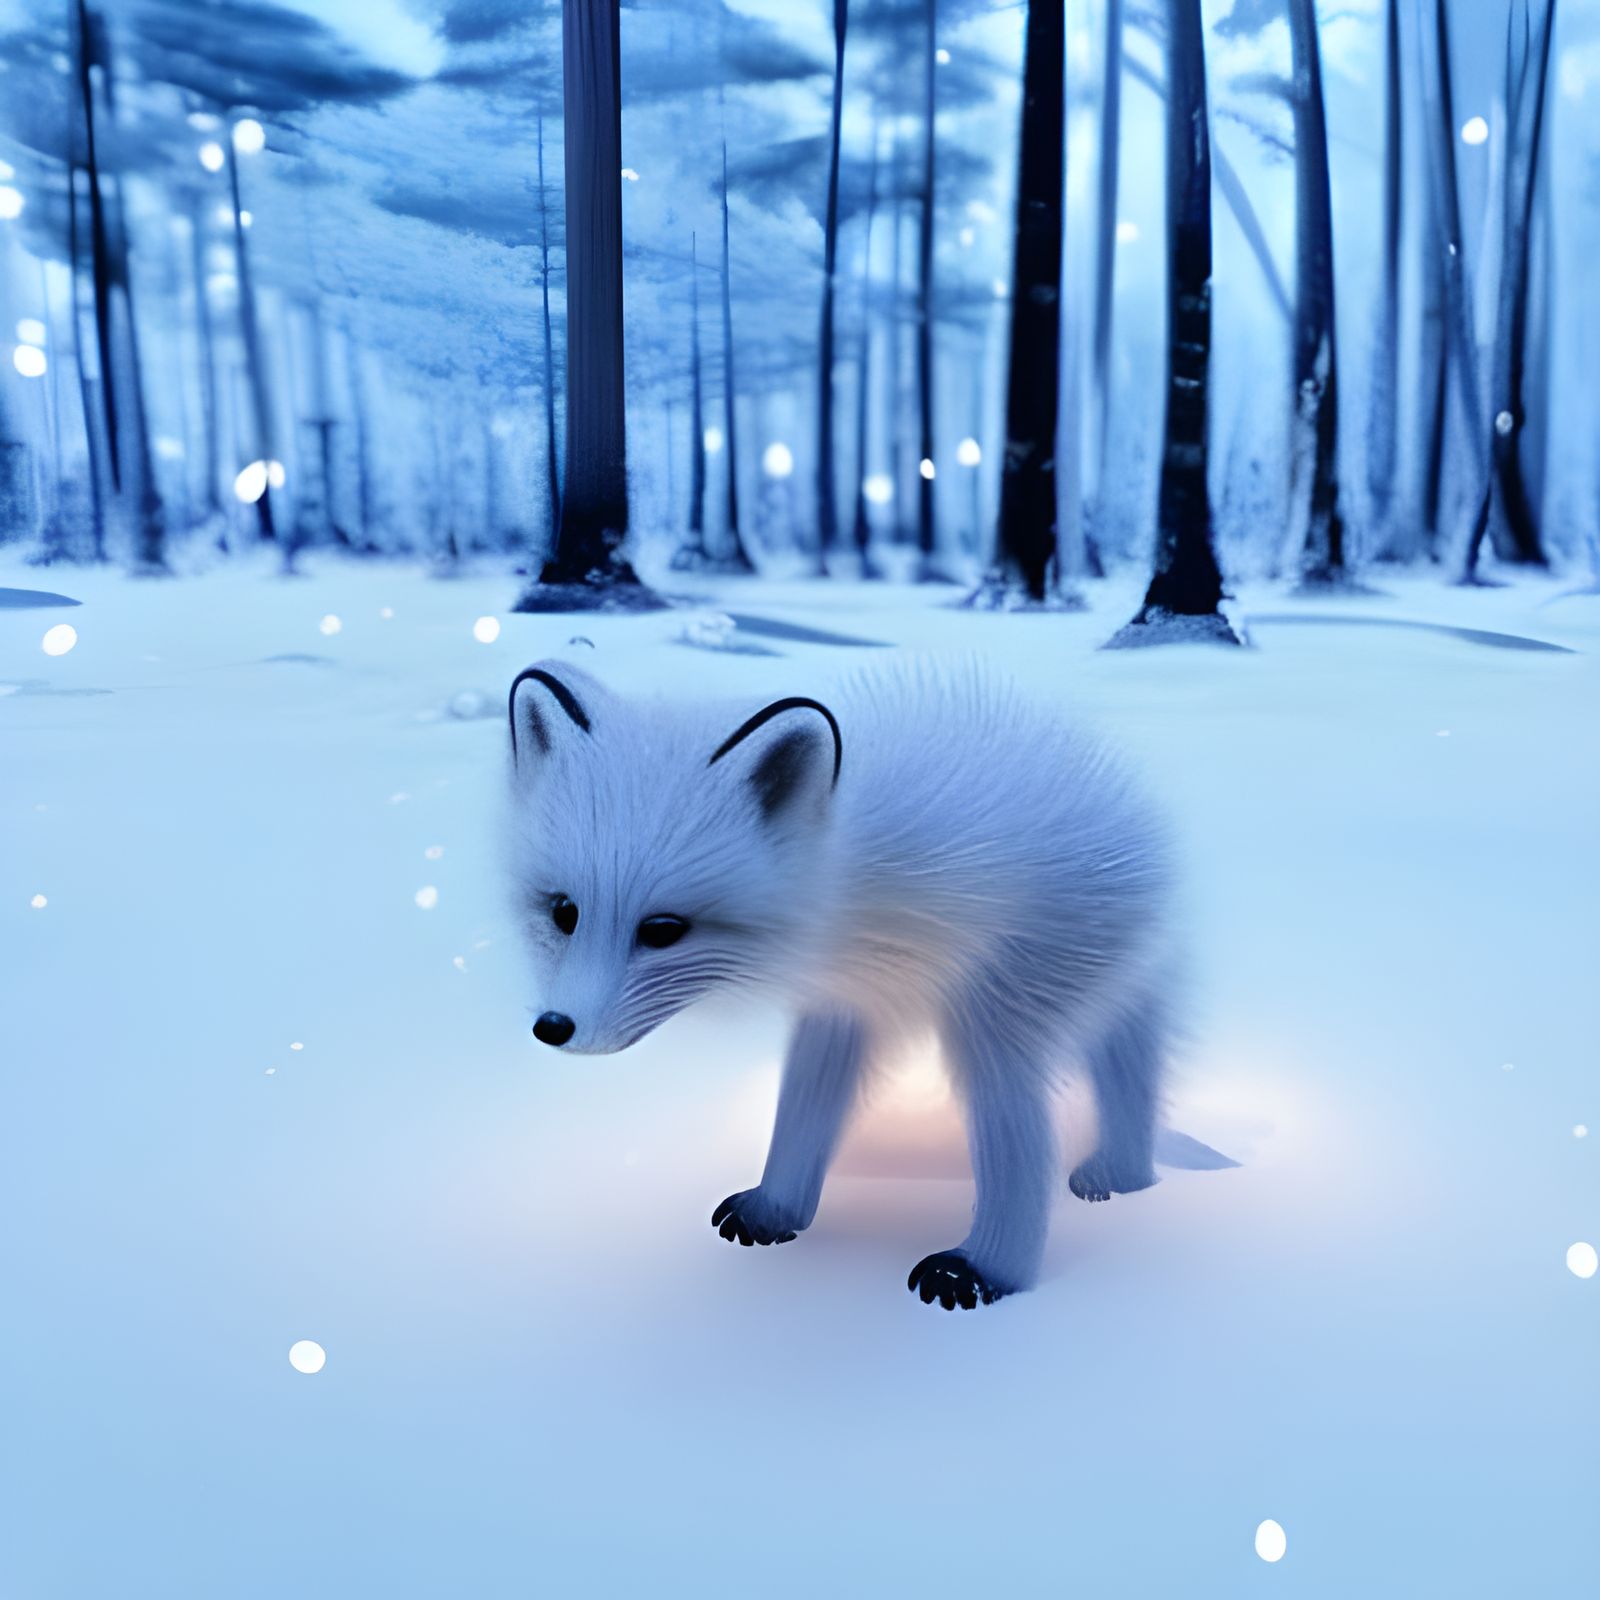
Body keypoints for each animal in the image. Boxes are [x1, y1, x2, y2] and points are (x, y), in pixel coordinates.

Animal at [506, 657, 1181, 1310]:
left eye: (664, 929)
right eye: (564, 912)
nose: (554, 1029)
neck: (849, 893)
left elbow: (1016, 1141)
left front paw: (983, 1272)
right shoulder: (840, 1004)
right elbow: (802, 1112)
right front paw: (775, 1209)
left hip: (1017, 1004)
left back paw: (1025, 1238)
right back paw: (1124, 1174)